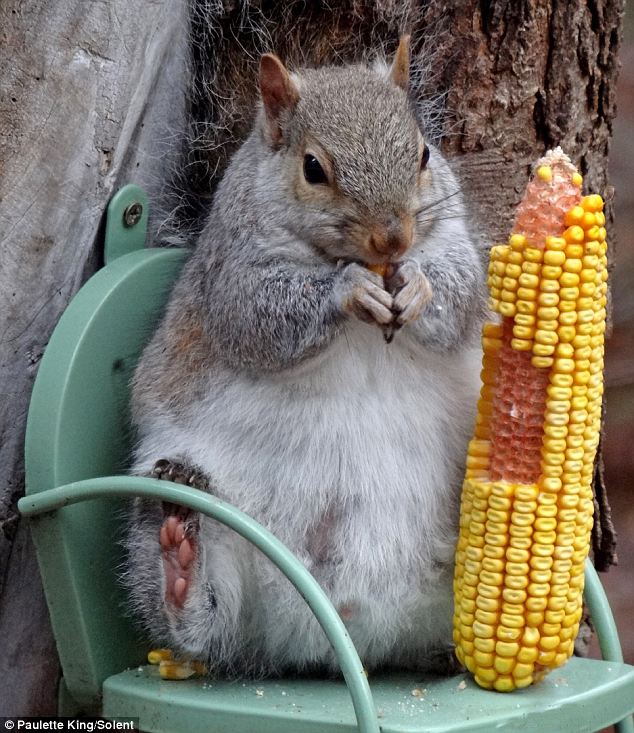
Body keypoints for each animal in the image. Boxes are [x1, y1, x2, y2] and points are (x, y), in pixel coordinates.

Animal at [123, 34, 484, 676]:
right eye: (314, 168)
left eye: (423, 153)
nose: (394, 239)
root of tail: (342, 638)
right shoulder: (232, 271)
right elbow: (259, 316)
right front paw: (349, 291)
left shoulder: (452, 235)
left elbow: (461, 293)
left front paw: (419, 286)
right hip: (201, 528)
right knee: (199, 627)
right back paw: (180, 563)